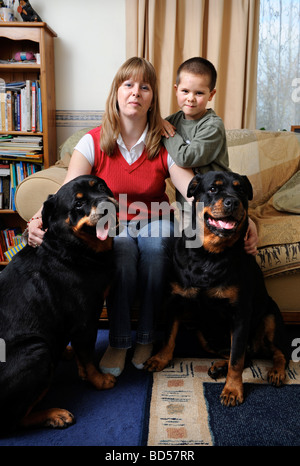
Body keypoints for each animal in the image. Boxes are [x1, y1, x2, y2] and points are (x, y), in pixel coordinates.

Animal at [0, 176, 119, 434]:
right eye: (77, 204)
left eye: (101, 186)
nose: (106, 204)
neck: (72, 247)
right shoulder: (86, 318)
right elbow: (87, 354)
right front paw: (98, 380)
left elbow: (82, 353)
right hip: (37, 350)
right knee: (11, 420)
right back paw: (54, 415)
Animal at [145, 172, 288, 408]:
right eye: (213, 189)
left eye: (241, 190)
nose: (233, 201)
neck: (209, 255)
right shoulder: (176, 301)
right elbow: (169, 336)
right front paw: (160, 359)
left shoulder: (240, 315)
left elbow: (237, 360)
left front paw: (232, 390)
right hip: (205, 336)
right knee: (244, 355)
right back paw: (219, 366)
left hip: (270, 319)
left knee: (274, 352)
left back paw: (276, 372)